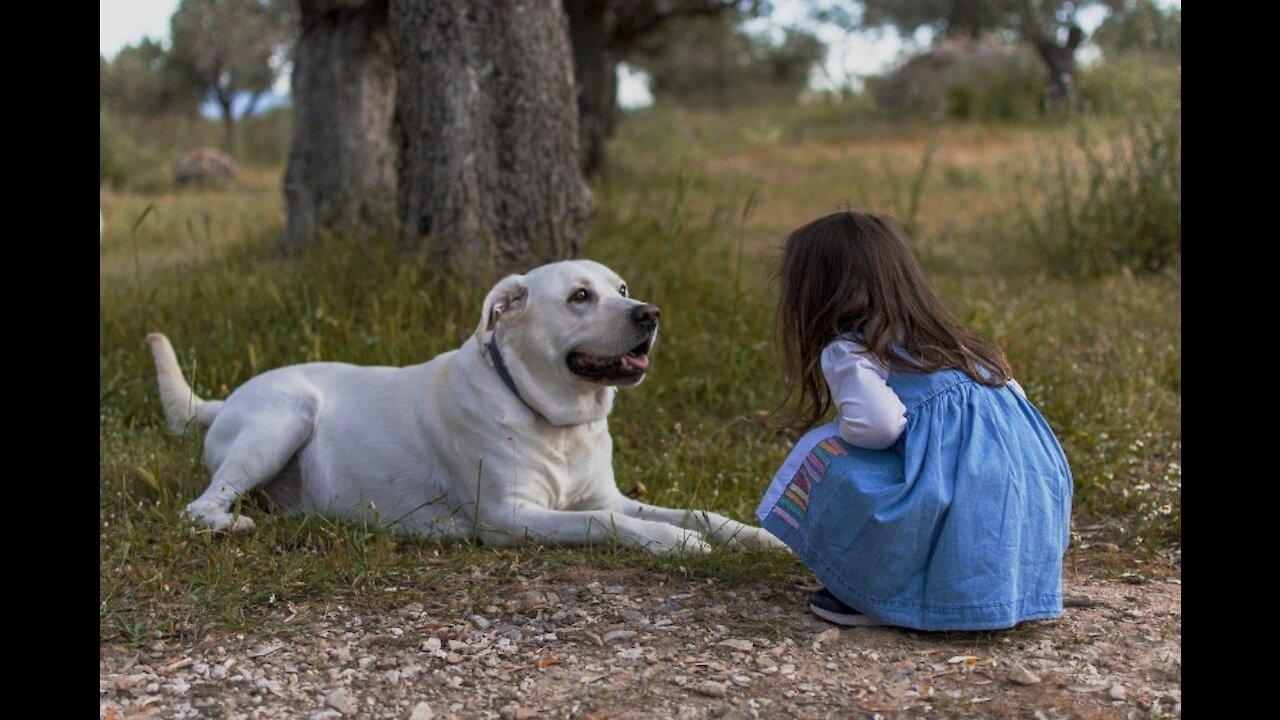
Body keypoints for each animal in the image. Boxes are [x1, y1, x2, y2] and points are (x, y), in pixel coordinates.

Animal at [153, 260, 783, 550]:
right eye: (580, 296)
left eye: (622, 289)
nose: (649, 314)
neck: (556, 421)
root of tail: (223, 400)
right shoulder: (511, 516)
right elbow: (602, 523)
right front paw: (672, 542)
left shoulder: (608, 494)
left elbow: (695, 511)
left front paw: (754, 536)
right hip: (285, 417)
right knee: (199, 506)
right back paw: (230, 524)